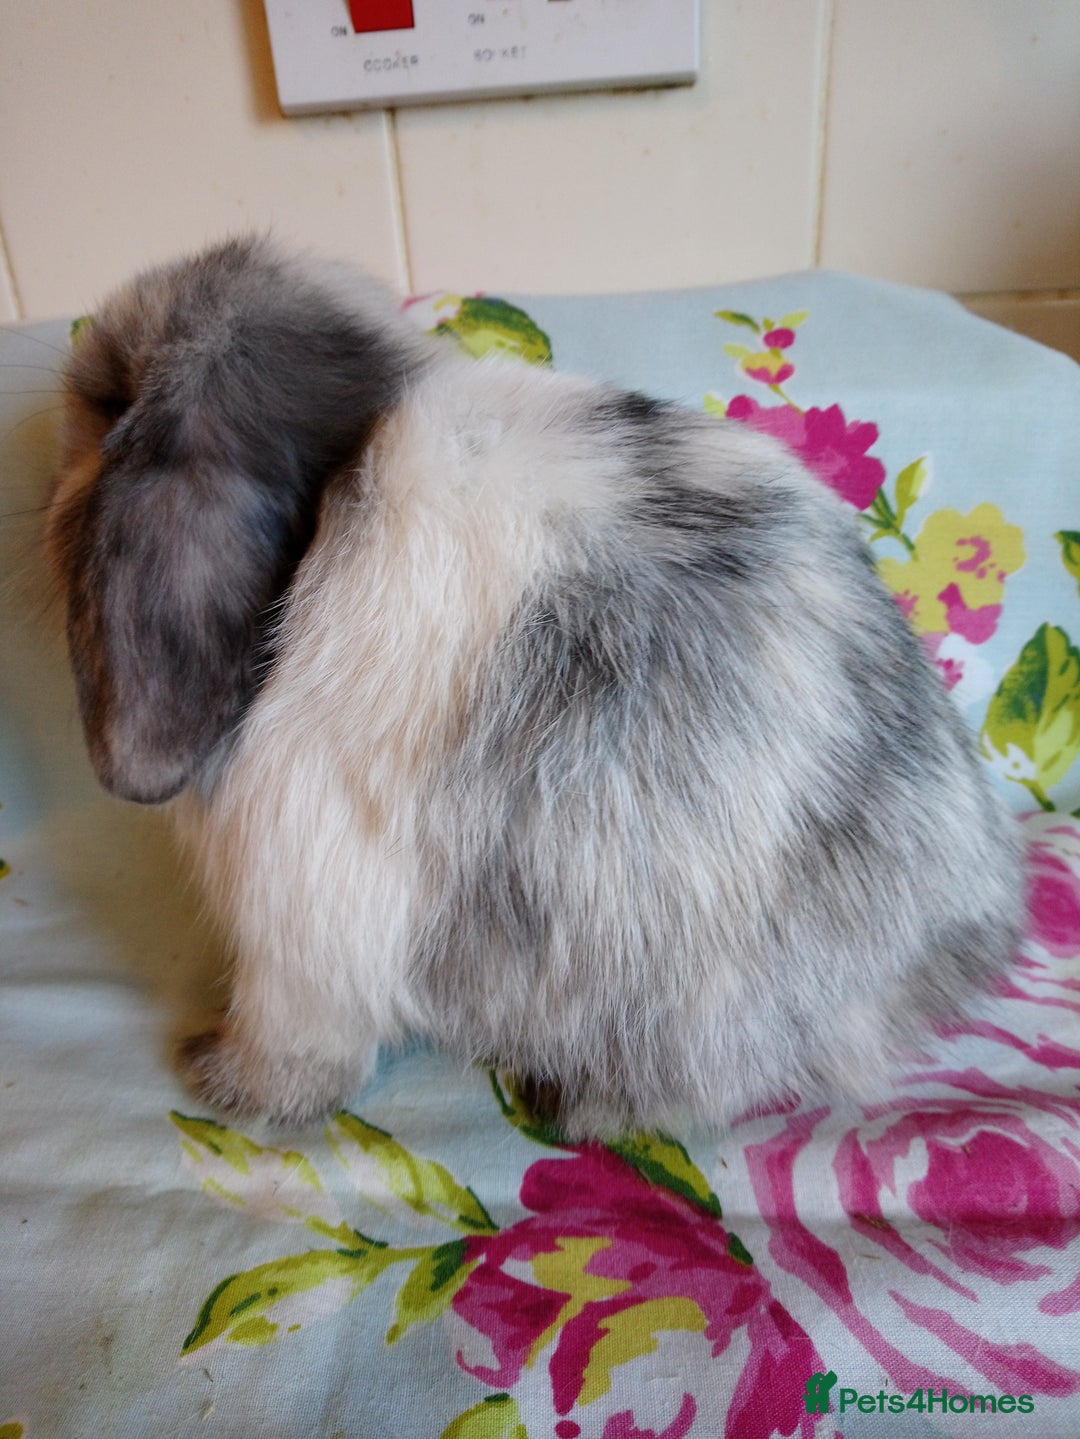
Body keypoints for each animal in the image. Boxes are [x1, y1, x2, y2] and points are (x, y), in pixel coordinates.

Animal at [45, 236, 1024, 1139]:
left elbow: (296, 1042)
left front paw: (221, 1080)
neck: (339, 472)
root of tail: (952, 930)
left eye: (112, 402)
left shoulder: (297, 919)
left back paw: (570, 1103)